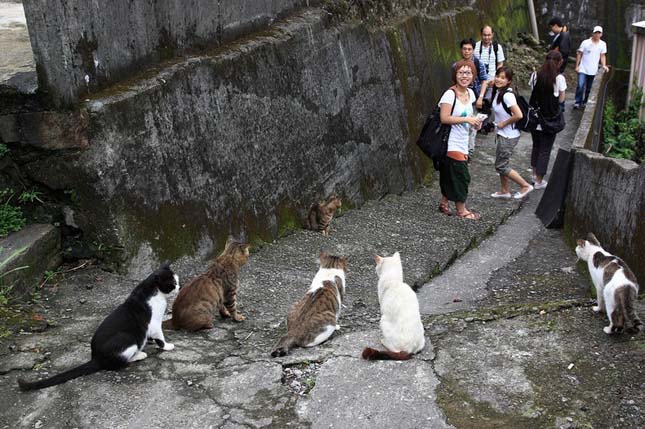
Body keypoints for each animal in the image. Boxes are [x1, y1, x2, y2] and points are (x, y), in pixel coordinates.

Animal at [18, 262, 179, 390]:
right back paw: (139, 355)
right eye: (173, 283)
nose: (179, 287)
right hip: (127, 338)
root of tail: (95, 357)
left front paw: (152, 342)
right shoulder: (154, 323)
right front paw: (167, 346)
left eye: (177, 281)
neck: (151, 290)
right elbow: (160, 336)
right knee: (116, 363)